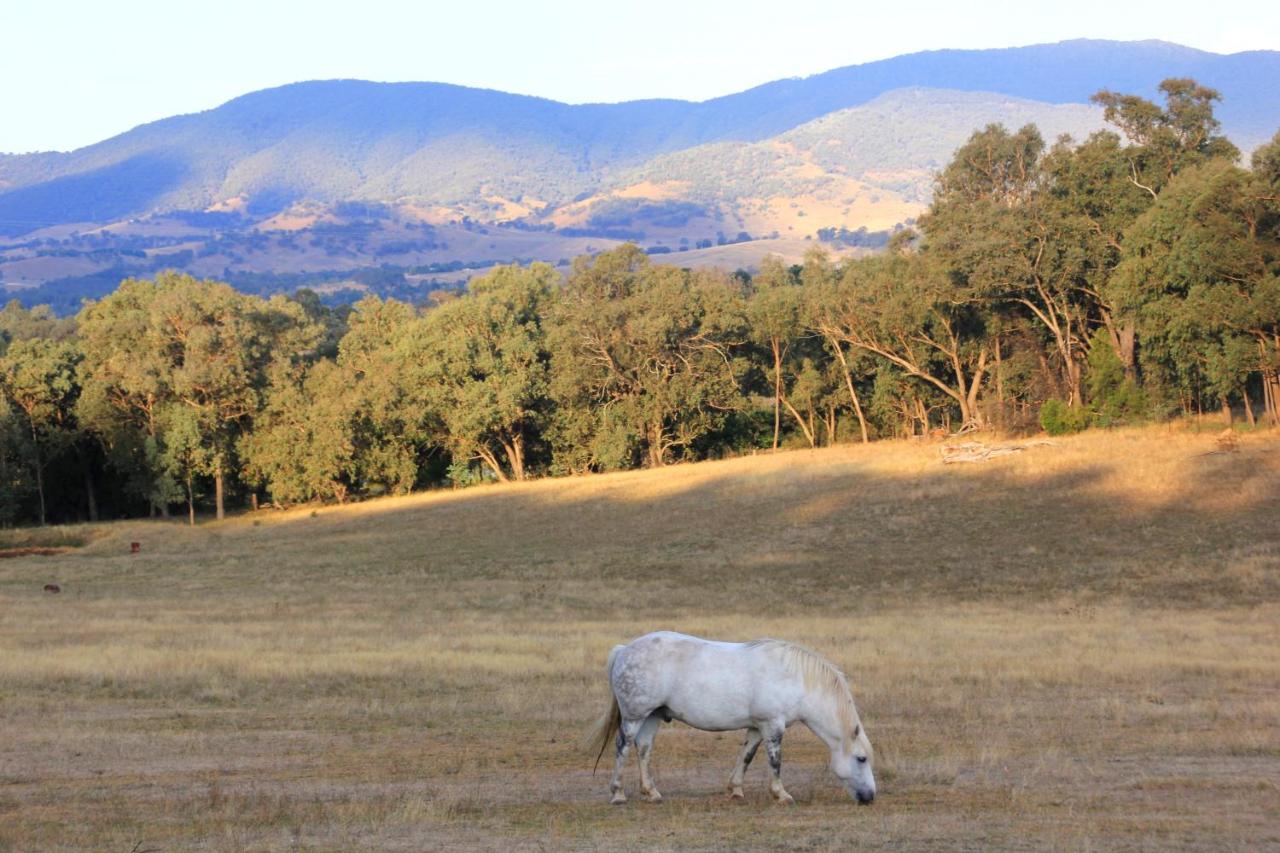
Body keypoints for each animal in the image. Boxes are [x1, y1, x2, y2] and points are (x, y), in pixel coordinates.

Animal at [586, 630, 875, 804]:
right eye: (861, 759)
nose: (870, 796)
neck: (796, 679)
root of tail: (625, 649)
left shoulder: (757, 728)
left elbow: (746, 756)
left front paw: (736, 789)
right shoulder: (773, 727)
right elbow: (775, 762)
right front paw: (781, 794)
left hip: (652, 717)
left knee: (644, 749)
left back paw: (652, 792)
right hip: (634, 717)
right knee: (622, 747)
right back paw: (618, 793)